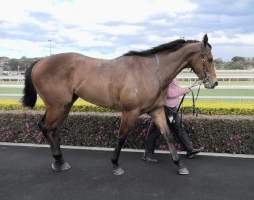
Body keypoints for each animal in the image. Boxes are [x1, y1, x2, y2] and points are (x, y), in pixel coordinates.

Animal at [22, 34, 216, 175]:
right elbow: (122, 137)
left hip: (64, 105)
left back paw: (60, 161)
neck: (151, 71)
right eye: (210, 58)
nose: (213, 83)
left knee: (52, 129)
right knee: (46, 127)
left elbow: (168, 135)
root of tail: (40, 62)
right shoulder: (130, 112)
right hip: (57, 106)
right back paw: (58, 160)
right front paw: (115, 164)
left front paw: (179, 164)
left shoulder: (157, 110)